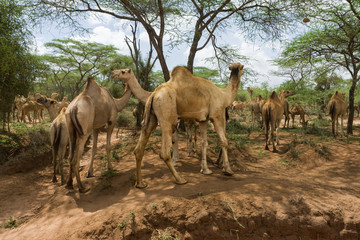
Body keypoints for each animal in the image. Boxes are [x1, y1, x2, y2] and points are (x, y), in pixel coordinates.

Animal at [112, 62, 245, 188]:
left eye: (123, 71)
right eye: (242, 67)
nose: (113, 73)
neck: (223, 95)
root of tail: (154, 94)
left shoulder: (203, 120)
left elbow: (204, 143)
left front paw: (206, 170)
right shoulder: (217, 115)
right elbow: (224, 141)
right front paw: (228, 170)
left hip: (151, 118)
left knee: (139, 148)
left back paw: (140, 183)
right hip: (167, 114)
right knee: (164, 152)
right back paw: (180, 179)